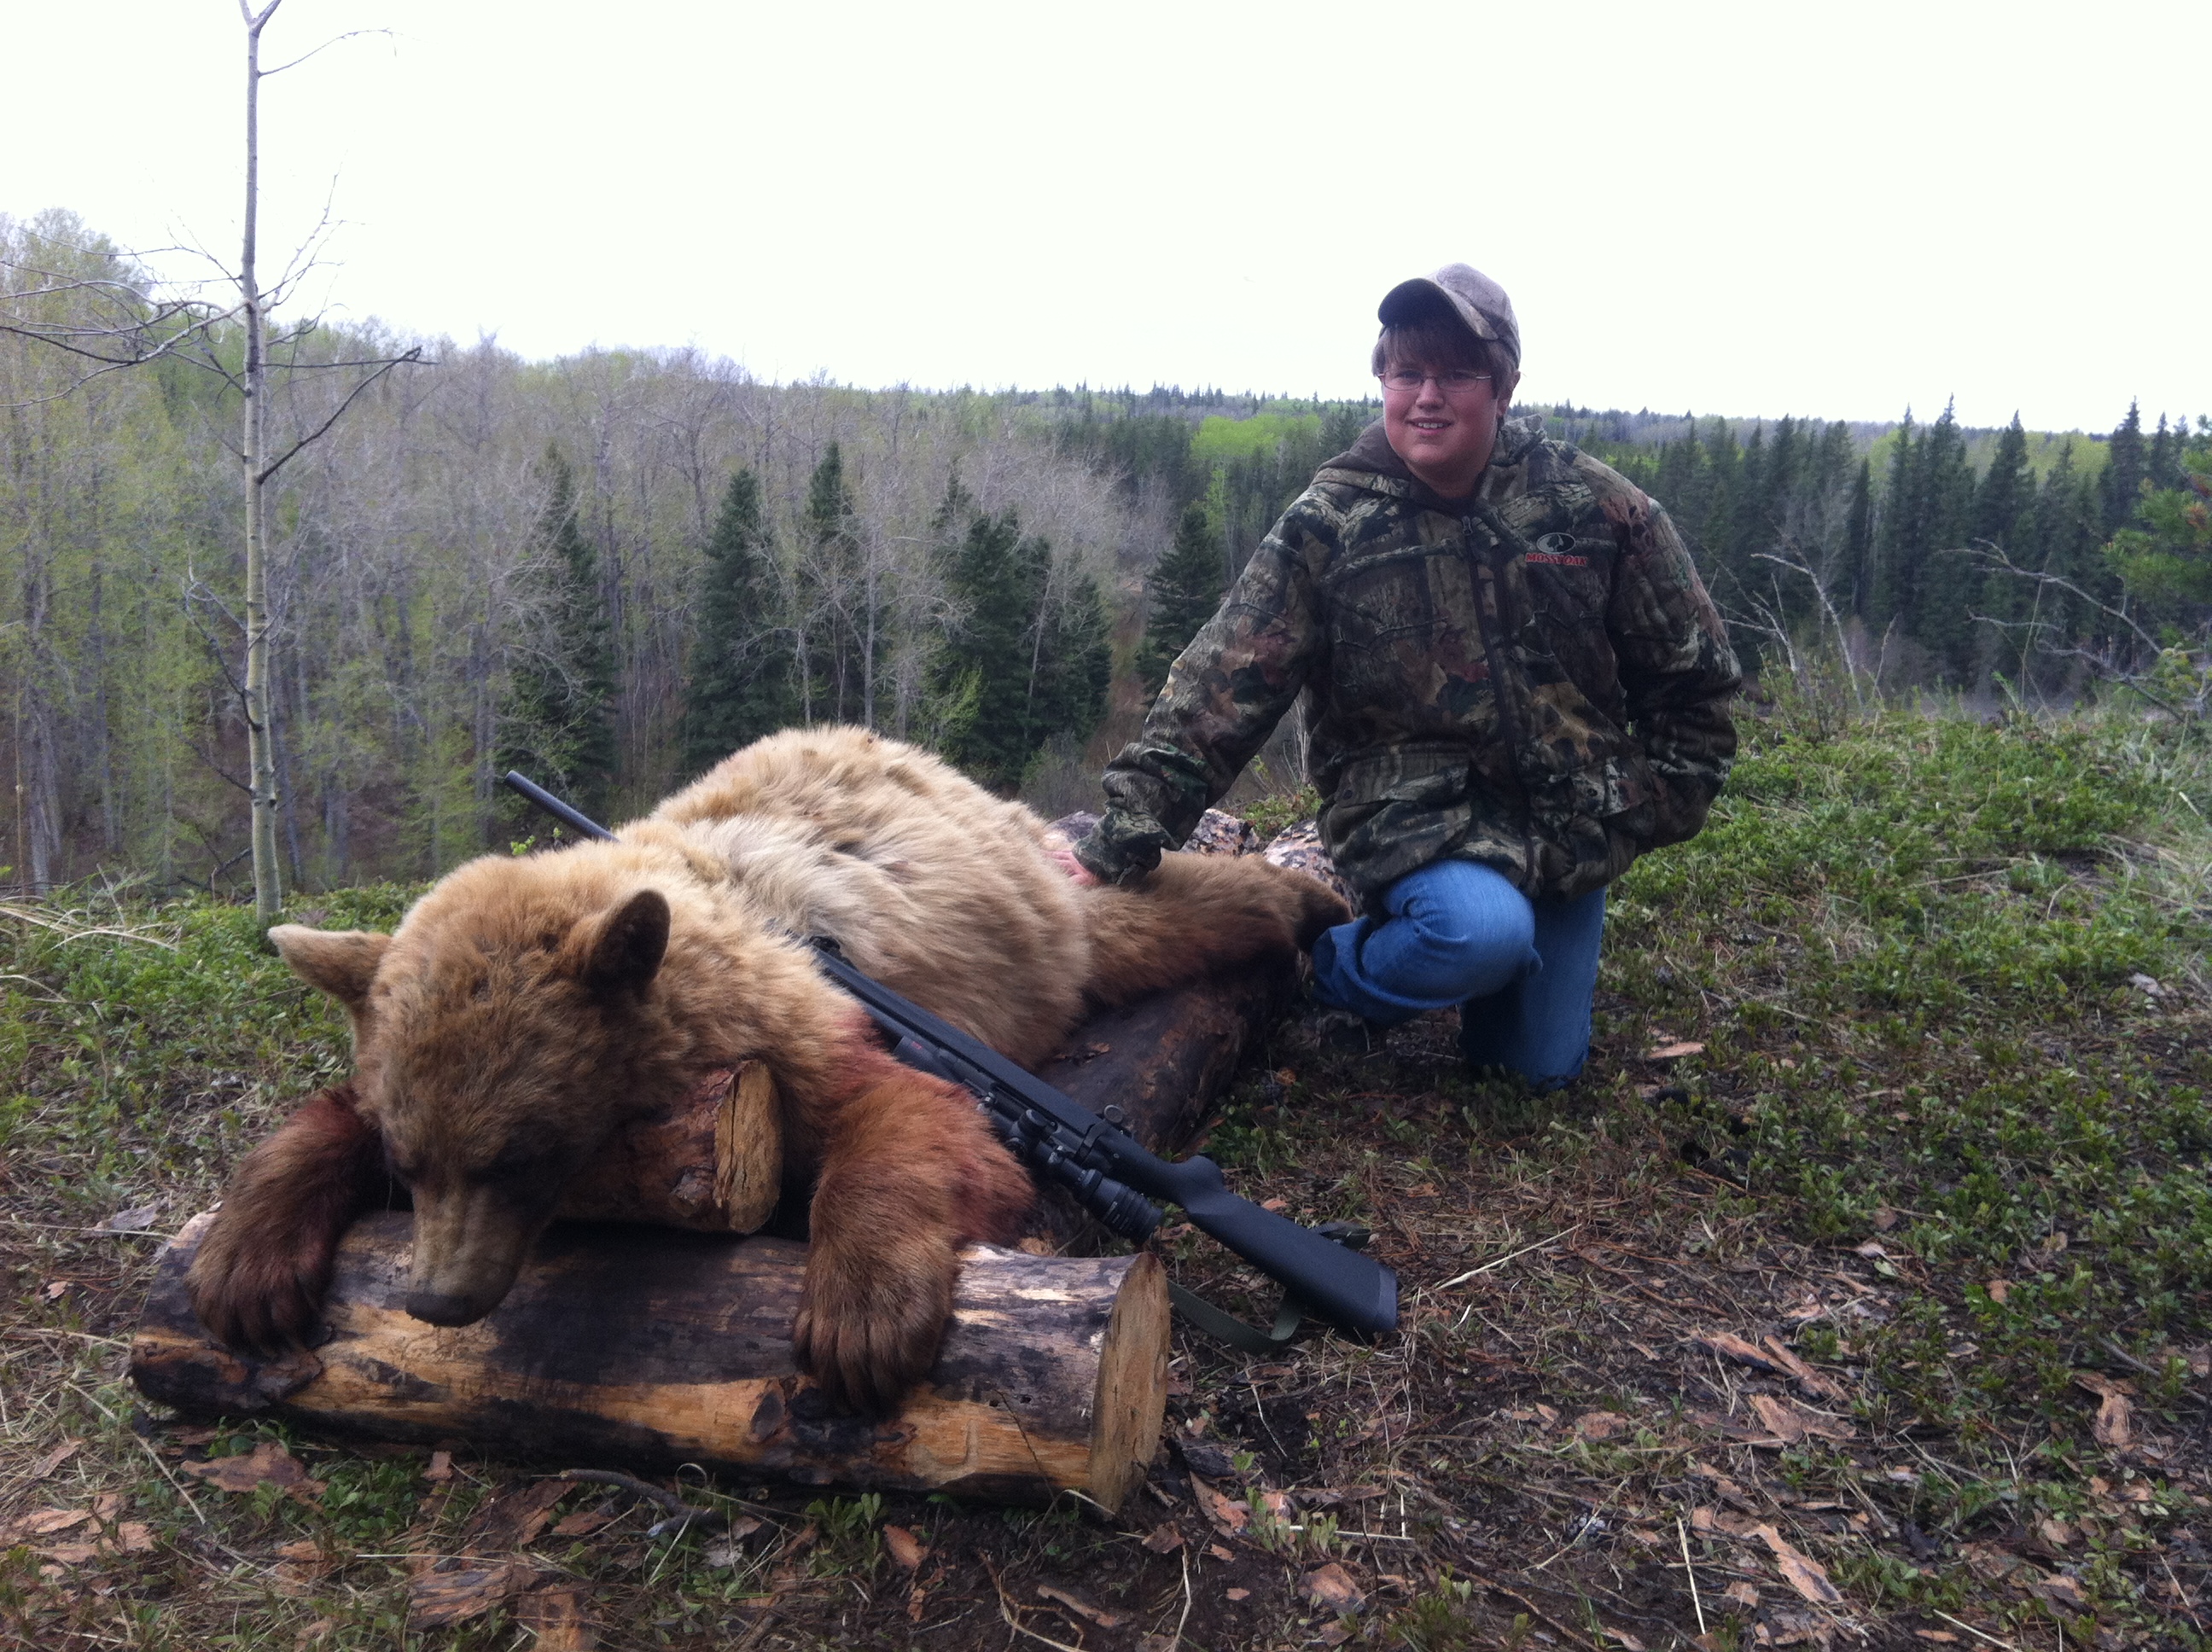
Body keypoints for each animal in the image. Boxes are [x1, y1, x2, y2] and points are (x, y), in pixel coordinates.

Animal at [187, 727, 1347, 1413]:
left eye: (513, 1156)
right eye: (412, 1160)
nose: (433, 1300)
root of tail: (900, 742)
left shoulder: (806, 1025)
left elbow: (915, 1115)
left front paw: (863, 1316)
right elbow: (323, 1123)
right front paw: (246, 1263)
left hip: (1034, 912)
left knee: (1140, 921)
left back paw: (1311, 902)